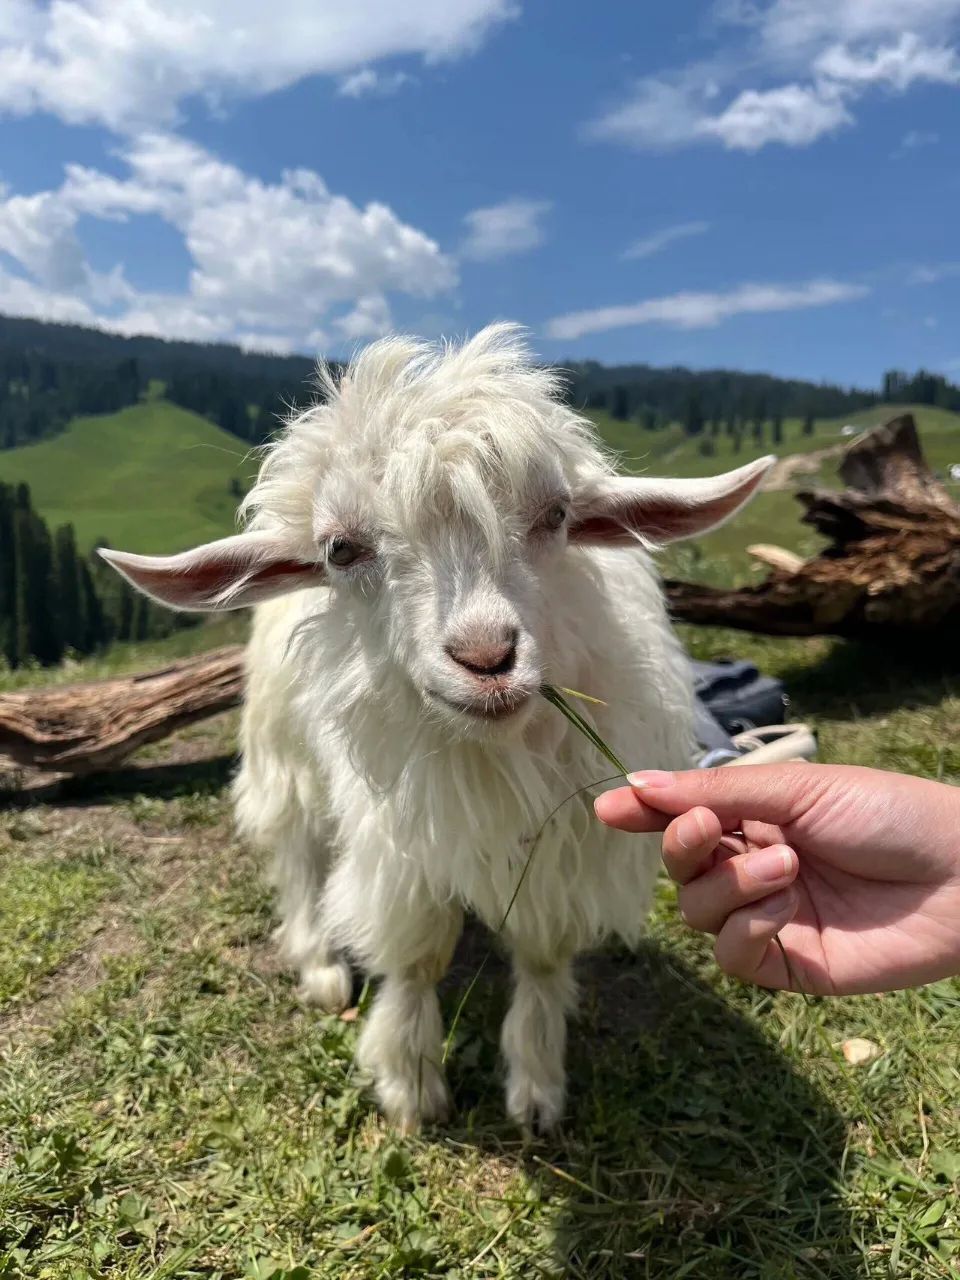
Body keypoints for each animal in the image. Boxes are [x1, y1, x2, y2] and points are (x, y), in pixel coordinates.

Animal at [101, 325, 773, 1134]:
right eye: (341, 549)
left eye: (556, 516)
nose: (486, 659)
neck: (492, 755)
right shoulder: (397, 841)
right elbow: (416, 955)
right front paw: (410, 1080)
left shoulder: (565, 843)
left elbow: (542, 955)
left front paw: (537, 1083)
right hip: (284, 751)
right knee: (297, 853)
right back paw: (319, 961)